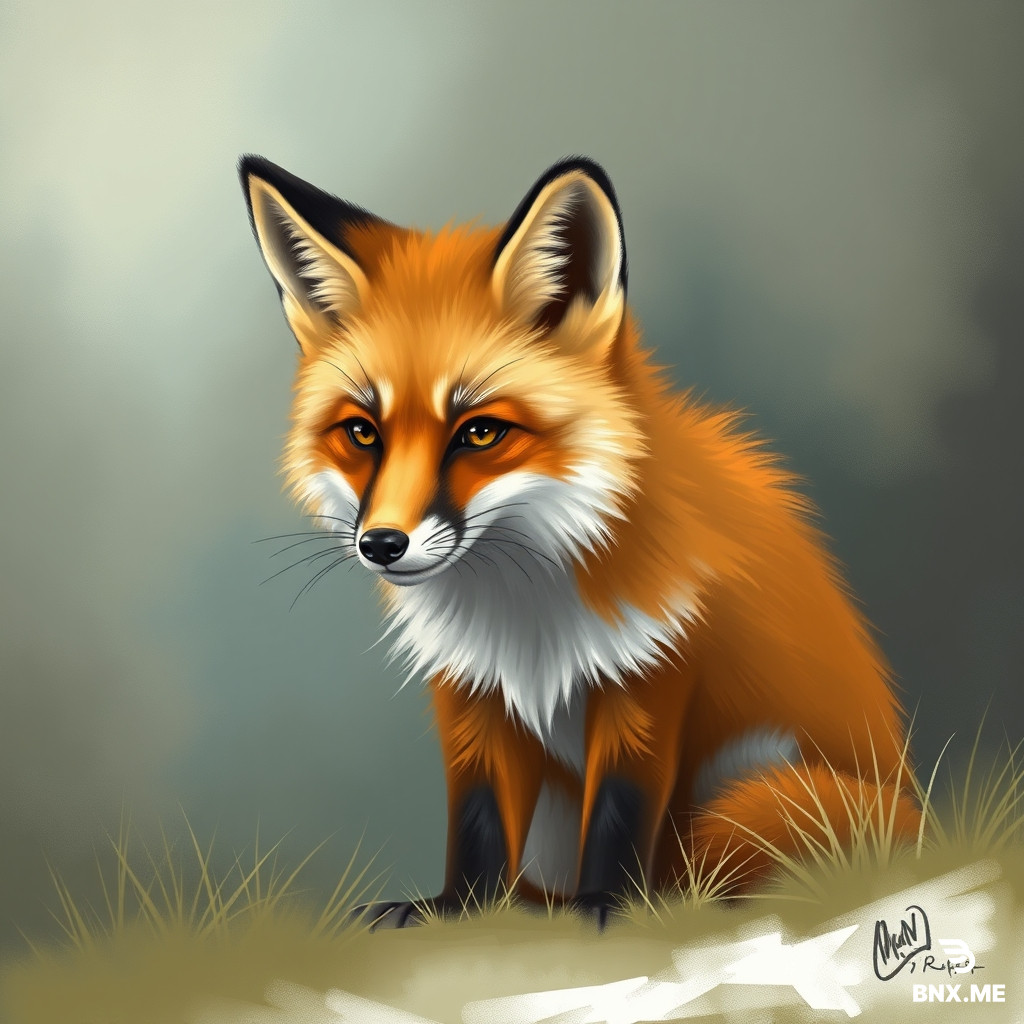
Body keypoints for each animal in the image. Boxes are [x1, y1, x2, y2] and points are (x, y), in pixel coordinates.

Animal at [239, 154, 919, 927]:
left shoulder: (650, 677)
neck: (524, 615)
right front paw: (459, 907)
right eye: (361, 432)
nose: (383, 544)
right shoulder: (472, 694)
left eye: (479, 432)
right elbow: (477, 816)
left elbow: (621, 809)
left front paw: (608, 903)